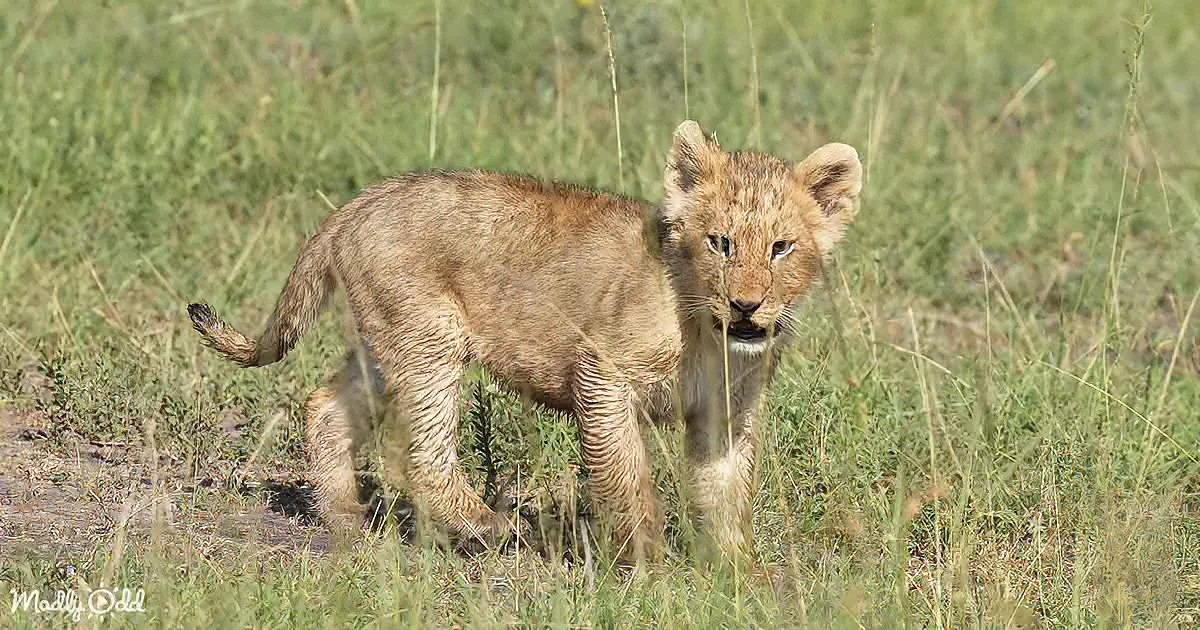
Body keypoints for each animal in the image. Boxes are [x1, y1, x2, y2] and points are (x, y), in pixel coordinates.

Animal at [187, 120, 862, 564]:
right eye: (721, 243)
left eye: (782, 248)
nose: (747, 305)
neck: (707, 330)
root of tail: (357, 204)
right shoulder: (602, 375)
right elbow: (626, 477)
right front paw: (647, 565)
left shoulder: (726, 410)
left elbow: (726, 491)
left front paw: (733, 573)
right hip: (432, 337)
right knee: (424, 454)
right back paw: (492, 527)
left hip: (388, 339)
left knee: (326, 407)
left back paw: (346, 521)